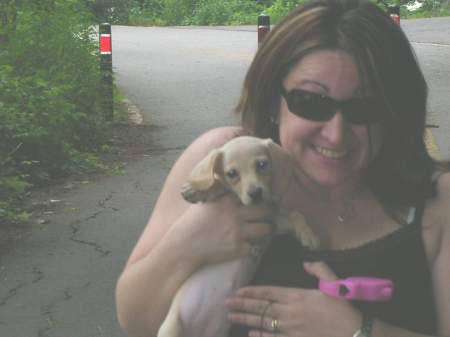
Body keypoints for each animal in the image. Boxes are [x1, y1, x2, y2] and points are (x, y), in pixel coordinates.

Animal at [158, 136, 320, 336]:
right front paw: (197, 190)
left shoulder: (272, 223)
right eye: (232, 173)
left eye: (262, 165)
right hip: (171, 327)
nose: (255, 193)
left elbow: (296, 214)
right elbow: (219, 186)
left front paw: (308, 234)